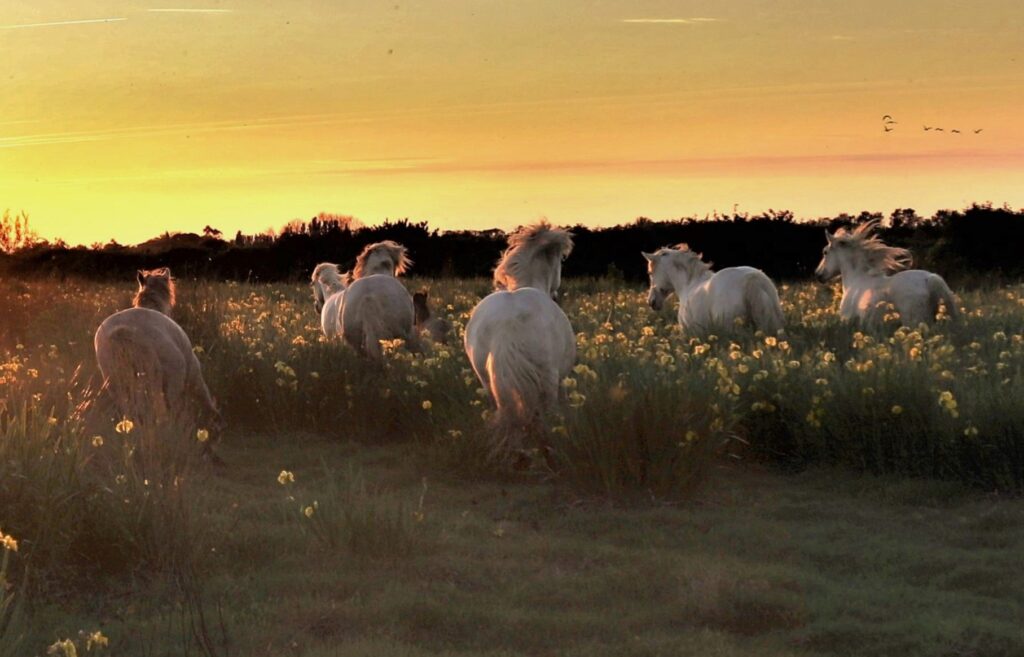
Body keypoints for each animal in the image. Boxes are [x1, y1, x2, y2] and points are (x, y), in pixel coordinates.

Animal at [93, 268, 224, 457]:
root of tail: (122, 331)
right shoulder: (192, 379)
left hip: (117, 385)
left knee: (133, 414)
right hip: (157, 384)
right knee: (158, 415)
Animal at [464, 222, 576, 459]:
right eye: (560, 261)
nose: (556, 295)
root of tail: (508, 323)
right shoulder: (560, 380)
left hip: (487, 381)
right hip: (548, 380)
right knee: (543, 417)